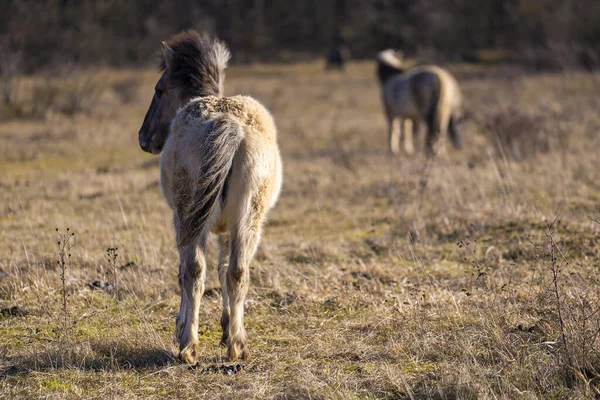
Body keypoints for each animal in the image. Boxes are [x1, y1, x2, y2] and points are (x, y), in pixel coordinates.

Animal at [138, 29, 284, 364]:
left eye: (159, 89)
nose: (143, 138)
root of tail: (228, 122)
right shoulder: (227, 229)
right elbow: (224, 269)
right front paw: (227, 327)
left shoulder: (183, 222)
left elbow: (187, 273)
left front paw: (181, 326)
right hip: (249, 221)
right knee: (238, 272)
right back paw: (237, 347)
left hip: (189, 219)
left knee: (193, 272)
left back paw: (188, 347)